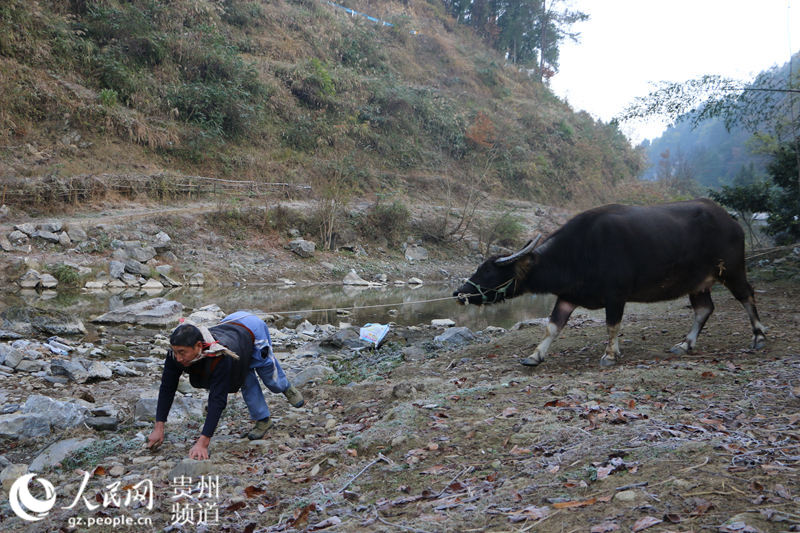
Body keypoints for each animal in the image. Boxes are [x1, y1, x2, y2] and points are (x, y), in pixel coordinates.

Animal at [454, 200, 764, 366]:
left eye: (488, 271)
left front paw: (610, 355)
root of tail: (731, 221)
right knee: (704, 309)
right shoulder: (568, 295)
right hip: (698, 283)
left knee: (747, 296)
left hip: (732, 270)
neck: (577, 252)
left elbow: (612, 325)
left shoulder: (616, 295)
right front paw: (535, 355)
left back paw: (758, 337)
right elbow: (553, 326)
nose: (459, 292)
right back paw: (685, 344)